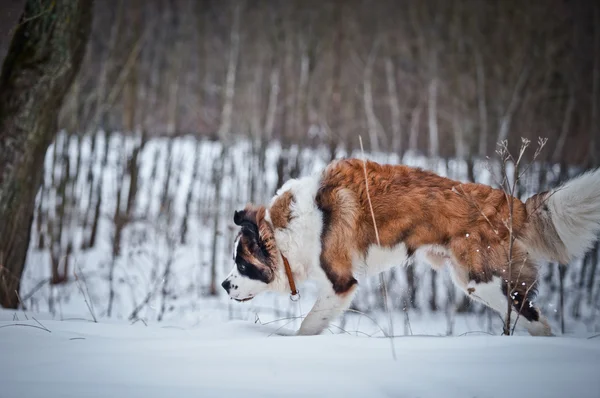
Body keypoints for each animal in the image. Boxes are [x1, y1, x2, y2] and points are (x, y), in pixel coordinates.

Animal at [220, 159, 600, 336]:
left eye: (242, 263)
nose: (224, 285)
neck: (287, 231)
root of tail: (505, 201)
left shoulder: (340, 283)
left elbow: (308, 325)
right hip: (475, 281)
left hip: (485, 279)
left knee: (534, 317)